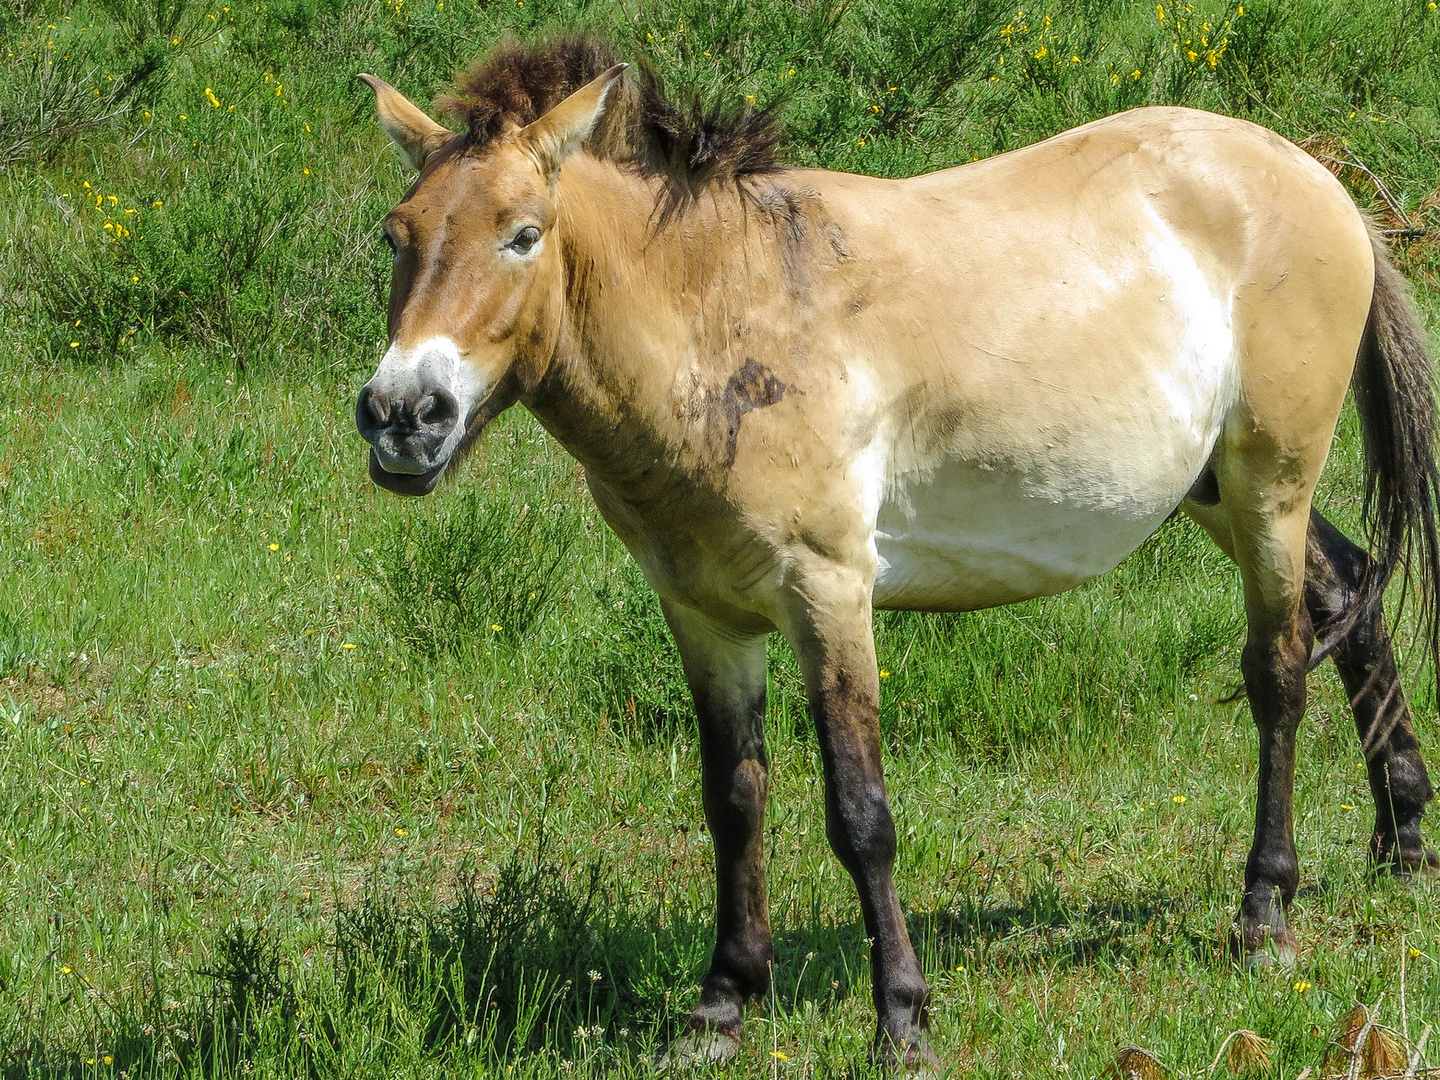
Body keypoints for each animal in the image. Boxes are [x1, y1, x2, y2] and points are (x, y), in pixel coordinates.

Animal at [351, 40, 1440, 1077]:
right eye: (399, 234)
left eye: (522, 233)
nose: (404, 416)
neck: (723, 313)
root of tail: (1312, 175)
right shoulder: (703, 614)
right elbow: (733, 800)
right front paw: (721, 1006)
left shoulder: (827, 592)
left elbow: (859, 814)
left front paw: (902, 1022)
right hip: (1211, 490)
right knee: (1348, 592)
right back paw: (1404, 835)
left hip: (1268, 488)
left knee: (1280, 672)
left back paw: (1265, 913)